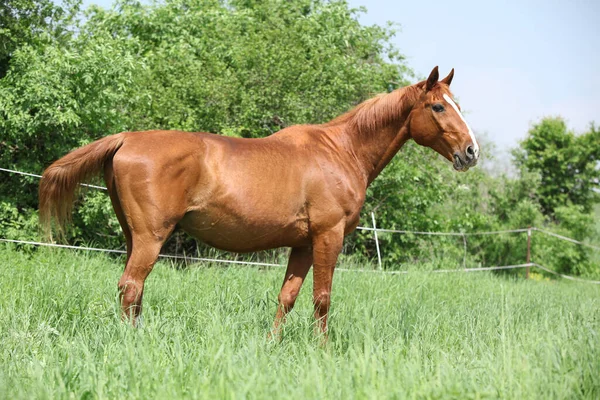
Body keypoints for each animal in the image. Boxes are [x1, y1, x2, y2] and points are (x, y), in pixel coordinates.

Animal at [38, 66, 478, 334]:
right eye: (438, 106)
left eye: (458, 105)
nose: (471, 152)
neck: (341, 151)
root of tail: (126, 138)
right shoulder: (328, 237)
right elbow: (322, 299)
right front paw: (322, 351)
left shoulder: (303, 244)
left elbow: (288, 297)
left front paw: (272, 345)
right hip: (150, 237)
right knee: (131, 286)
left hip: (135, 237)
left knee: (134, 291)